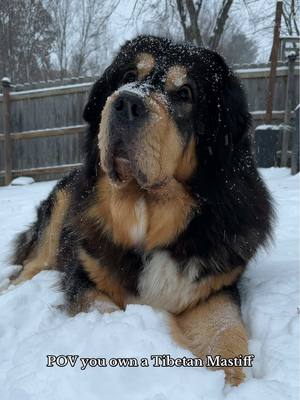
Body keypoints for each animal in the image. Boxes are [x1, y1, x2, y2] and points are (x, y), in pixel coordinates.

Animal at [11, 36, 274, 386]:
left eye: (184, 93)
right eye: (127, 76)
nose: (127, 103)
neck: (146, 212)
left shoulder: (215, 288)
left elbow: (227, 333)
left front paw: (234, 382)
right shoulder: (84, 278)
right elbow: (105, 312)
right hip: (55, 221)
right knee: (26, 269)